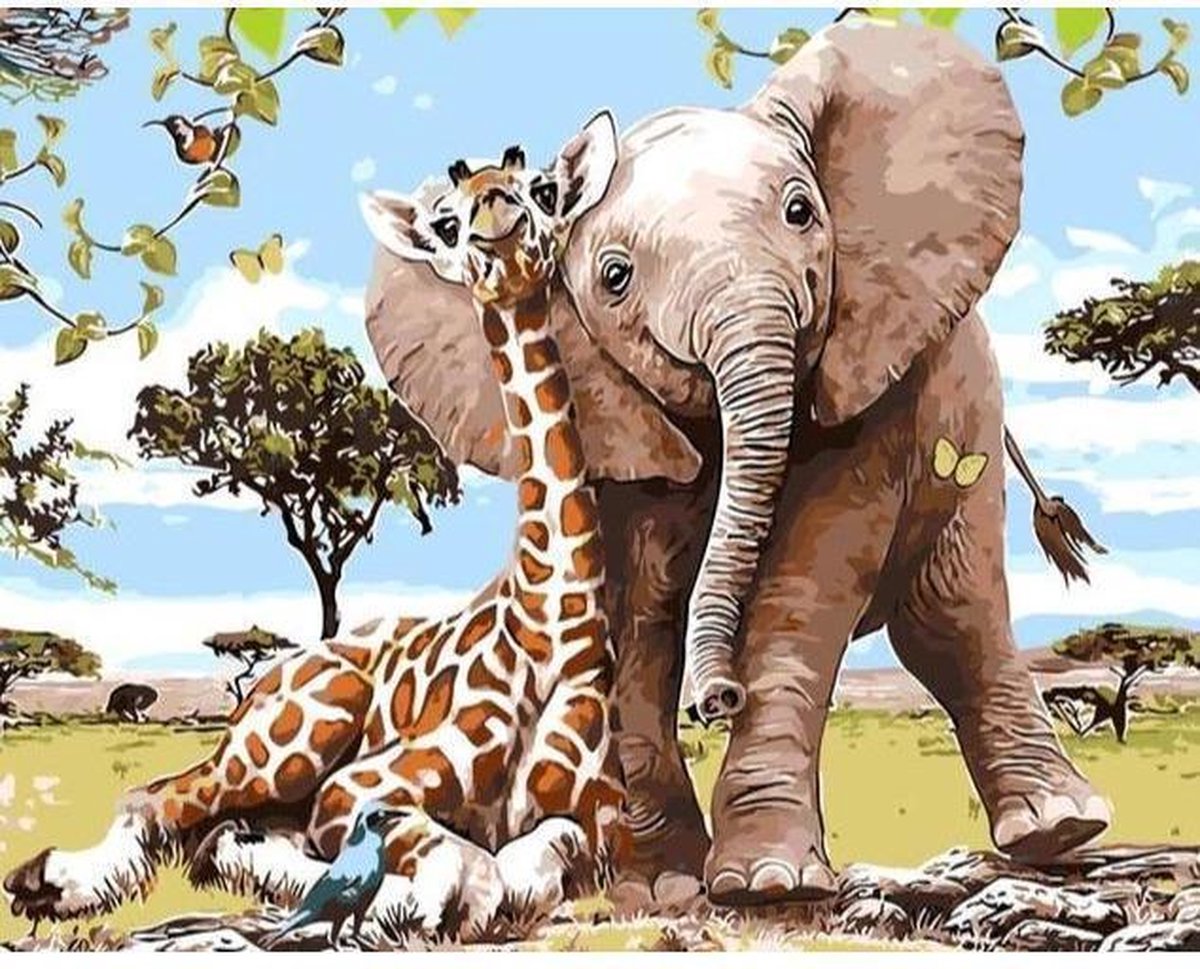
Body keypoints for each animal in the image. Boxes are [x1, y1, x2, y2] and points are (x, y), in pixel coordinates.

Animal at [2, 112, 625, 940]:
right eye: (446, 221)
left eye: (545, 190)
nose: (496, 213)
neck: (551, 619)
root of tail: (271, 676)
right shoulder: (355, 787)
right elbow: (463, 871)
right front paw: (402, 899)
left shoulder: (607, 819)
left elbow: (536, 860)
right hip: (292, 736)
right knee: (164, 801)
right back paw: (49, 879)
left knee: (214, 834)